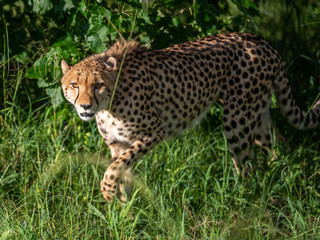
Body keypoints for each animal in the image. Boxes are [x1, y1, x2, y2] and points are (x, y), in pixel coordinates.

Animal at [60, 32, 320, 202]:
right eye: (74, 85)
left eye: (98, 85)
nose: (85, 106)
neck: (109, 104)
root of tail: (260, 40)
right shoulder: (118, 144)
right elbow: (121, 171)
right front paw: (125, 212)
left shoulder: (153, 132)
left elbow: (114, 169)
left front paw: (108, 192)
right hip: (256, 114)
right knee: (279, 145)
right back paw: (287, 174)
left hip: (236, 118)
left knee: (246, 165)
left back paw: (242, 199)